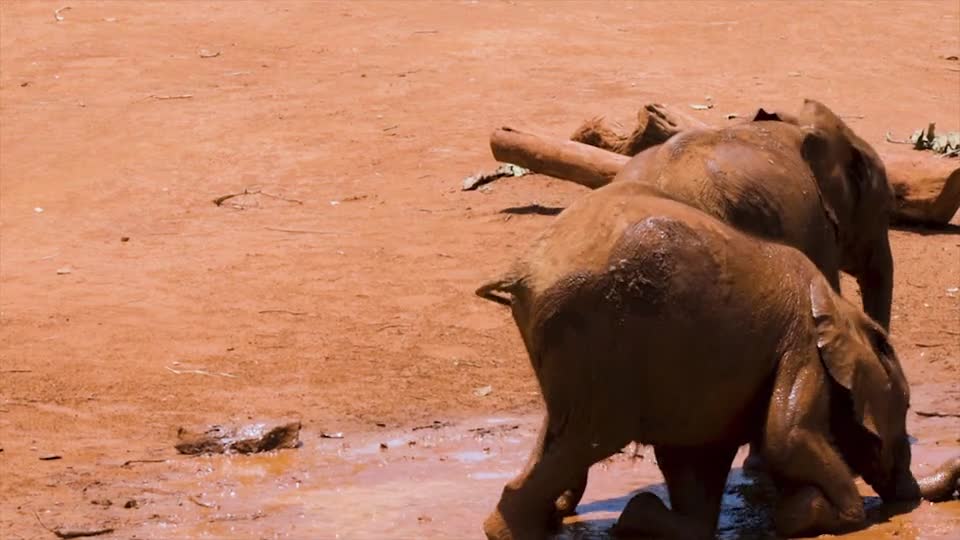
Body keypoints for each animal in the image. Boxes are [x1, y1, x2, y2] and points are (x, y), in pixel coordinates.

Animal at [476, 181, 956, 540]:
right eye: (905, 409)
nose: (952, 473)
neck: (840, 310)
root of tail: (525, 273)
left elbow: (696, 463)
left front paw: (639, 516)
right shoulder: (801, 346)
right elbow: (787, 436)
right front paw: (817, 513)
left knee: (560, 434)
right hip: (594, 339)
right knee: (589, 437)